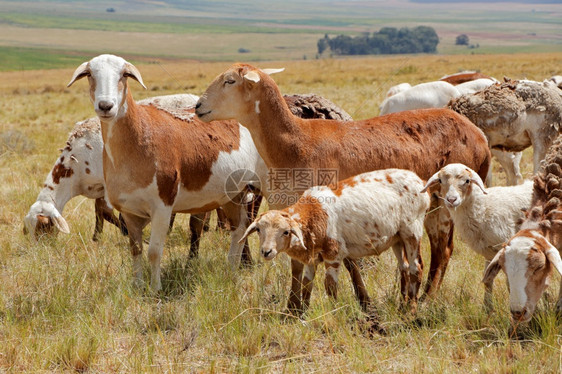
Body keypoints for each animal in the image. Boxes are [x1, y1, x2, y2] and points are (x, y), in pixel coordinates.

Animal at [238, 169, 426, 312]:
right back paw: (402, 305)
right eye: (259, 230)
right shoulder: (312, 257)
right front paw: (302, 314)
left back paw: (411, 311)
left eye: (286, 232)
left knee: (416, 268)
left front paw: (334, 311)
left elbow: (330, 287)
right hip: (397, 238)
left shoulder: (333, 255)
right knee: (404, 267)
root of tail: (418, 180)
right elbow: (307, 285)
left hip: (412, 230)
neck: (313, 212)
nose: (266, 252)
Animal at [418, 163, 532, 306]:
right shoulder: (490, 252)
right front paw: (487, 308)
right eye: (440, 180)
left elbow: (511, 283)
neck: (483, 207)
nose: (451, 200)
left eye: (467, 181)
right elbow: (488, 279)